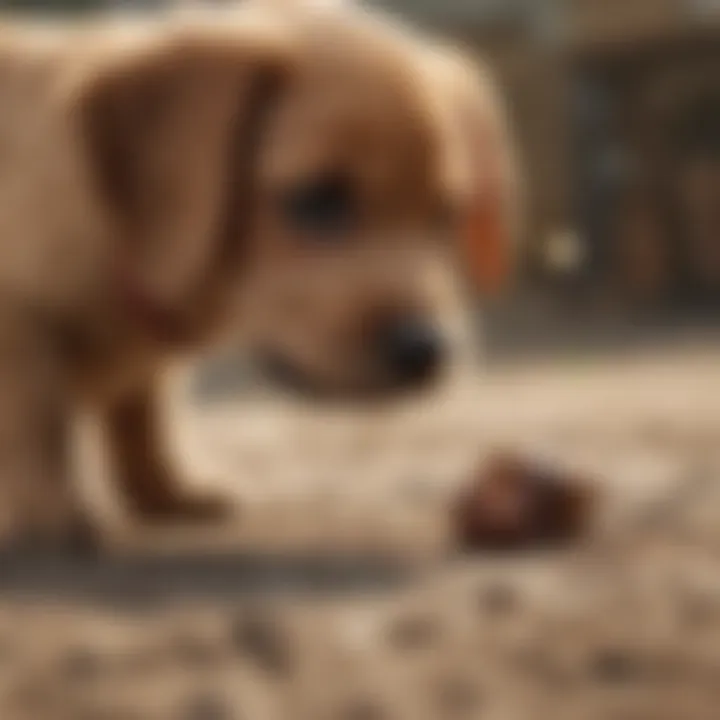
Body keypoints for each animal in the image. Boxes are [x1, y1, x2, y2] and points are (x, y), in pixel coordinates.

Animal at [0, 4, 520, 552]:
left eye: (447, 214)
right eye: (318, 199)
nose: (425, 350)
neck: (121, 236)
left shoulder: (145, 367)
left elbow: (145, 414)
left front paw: (167, 490)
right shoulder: (18, 324)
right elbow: (36, 420)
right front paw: (50, 512)